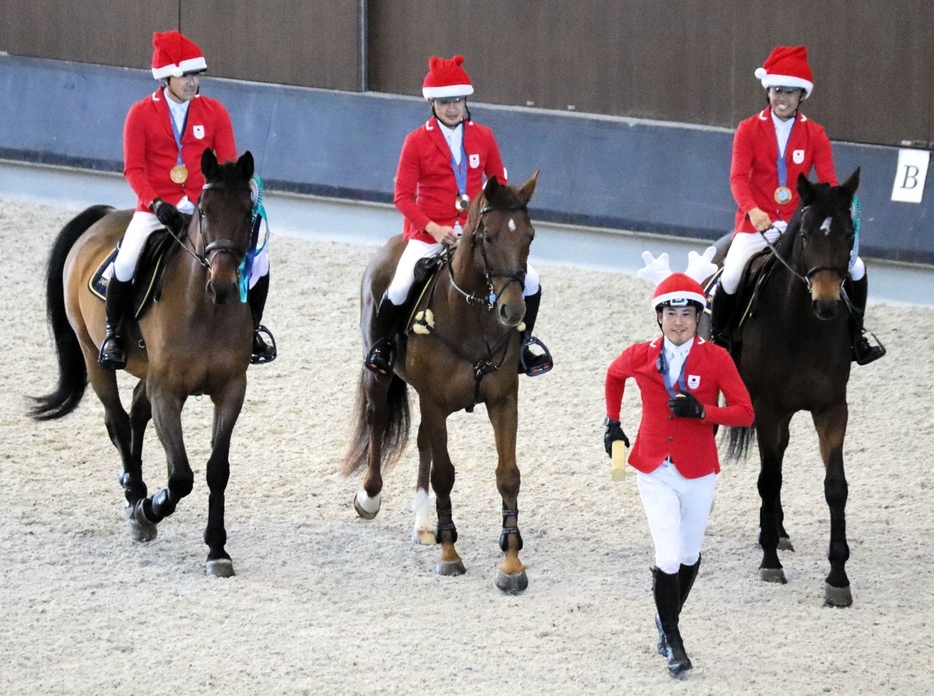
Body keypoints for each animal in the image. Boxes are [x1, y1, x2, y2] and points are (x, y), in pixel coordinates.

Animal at [31, 148, 258, 576]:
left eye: (248, 211)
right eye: (204, 210)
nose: (221, 285)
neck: (206, 311)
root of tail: (103, 217)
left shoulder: (231, 390)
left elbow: (216, 470)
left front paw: (217, 549)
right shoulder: (167, 391)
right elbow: (181, 476)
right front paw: (150, 510)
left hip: (145, 371)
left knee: (135, 413)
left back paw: (133, 488)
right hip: (95, 358)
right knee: (118, 420)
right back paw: (135, 495)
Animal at [346, 174, 540, 592]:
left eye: (530, 236)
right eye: (488, 237)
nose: (513, 311)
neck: (473, 320)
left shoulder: (503, 400)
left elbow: (508, 476)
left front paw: (511, 563)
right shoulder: (434, 401)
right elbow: (445, 475)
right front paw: (450, 554)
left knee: (422, 443)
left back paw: (423, 524)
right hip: (380, 375)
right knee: (377, 419)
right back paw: (369, 497)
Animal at [720, 170, 868, 608]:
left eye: (849, 232)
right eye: (804, 235)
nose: (827, 303)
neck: (803, 326)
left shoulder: (832, 409)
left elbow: (835, 488)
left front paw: (838, 578)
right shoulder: (767, 409)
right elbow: (768, 480)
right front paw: (770, 563)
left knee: (780, 462)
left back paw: (779, 531)